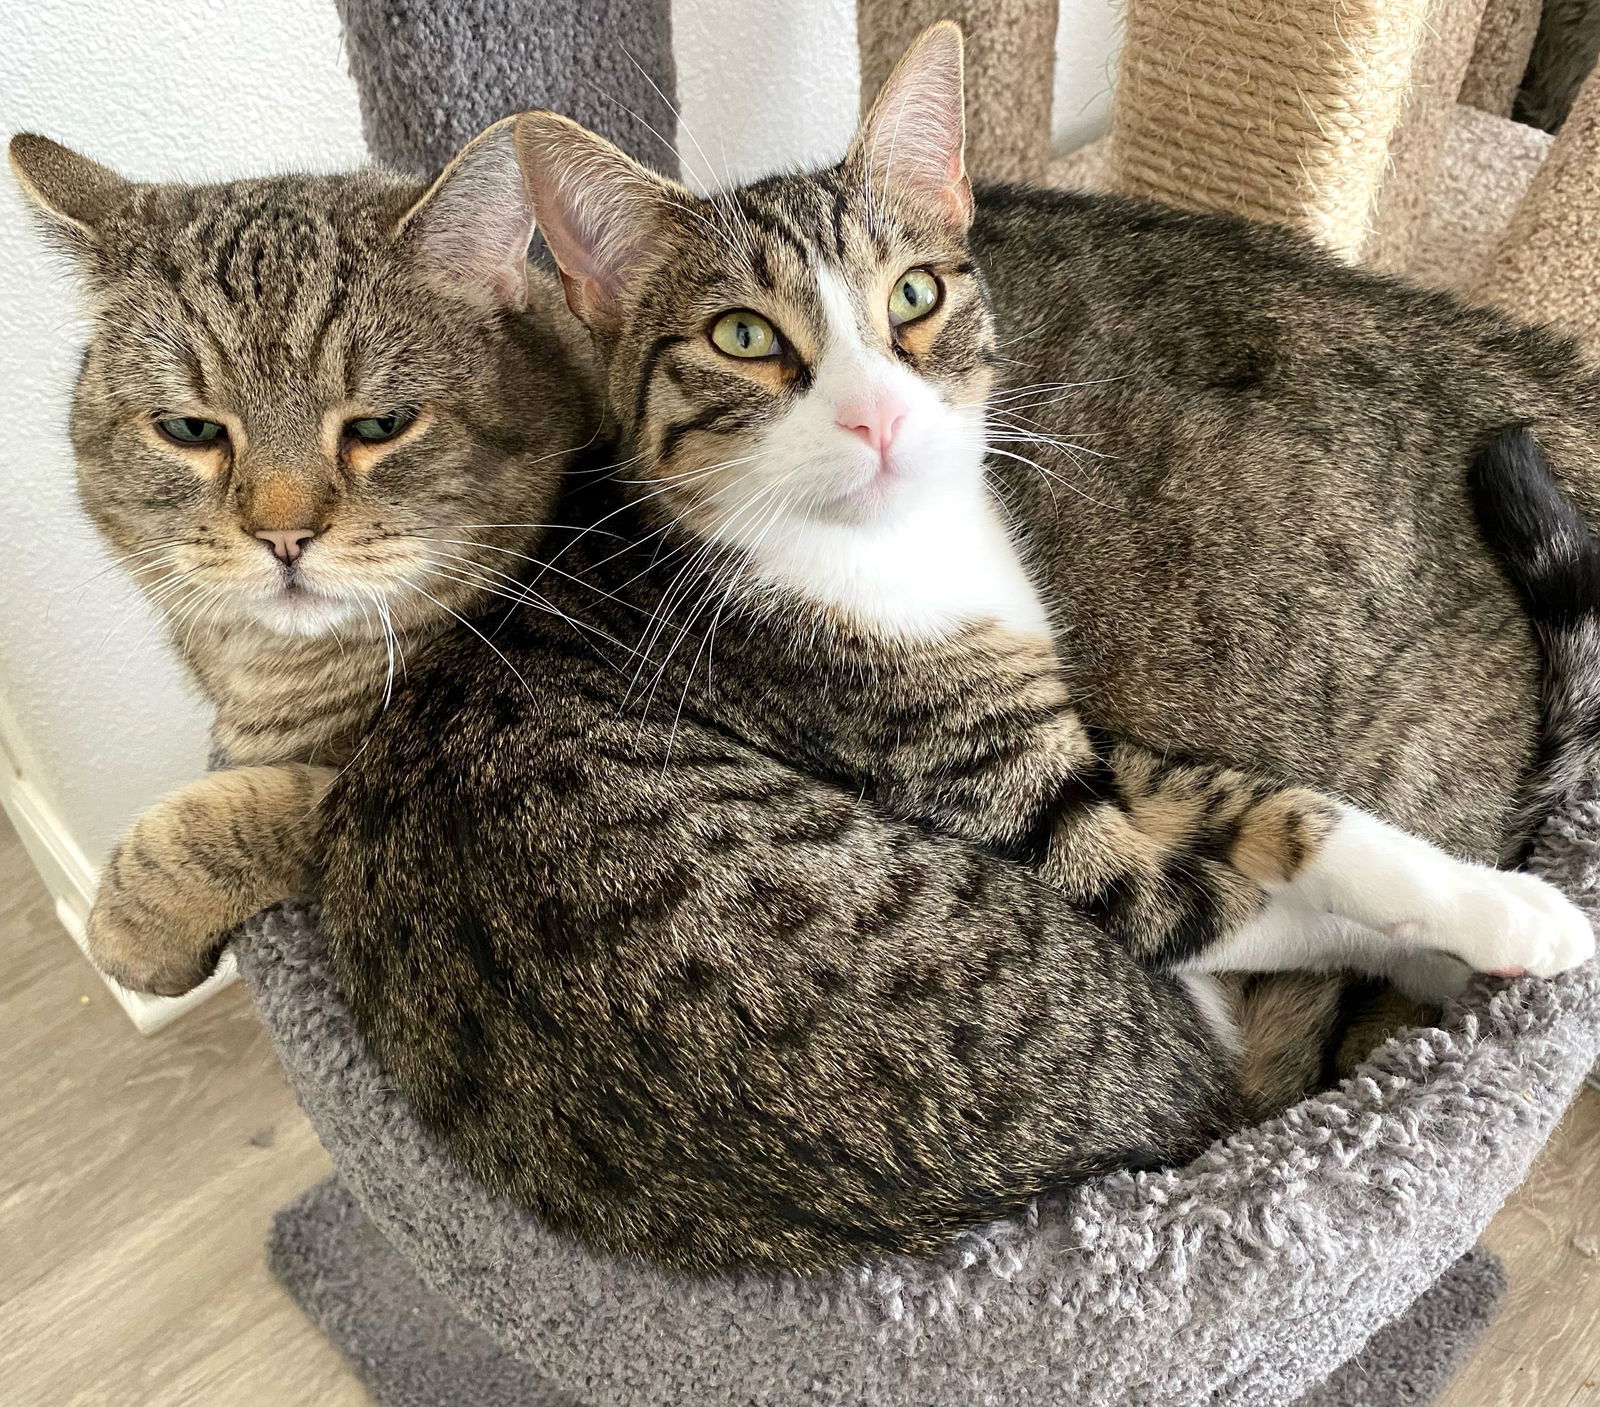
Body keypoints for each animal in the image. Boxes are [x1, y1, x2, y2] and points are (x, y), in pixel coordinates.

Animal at [302, 35, 1600, 1274]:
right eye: (742, 336)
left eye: (916, 294)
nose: (877, 416)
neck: (893, 554)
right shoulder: (1020, 807)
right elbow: (1243, 893)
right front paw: (1513, 929)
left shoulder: (1065, 735)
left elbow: (1300, 813)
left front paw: (1477, 911)